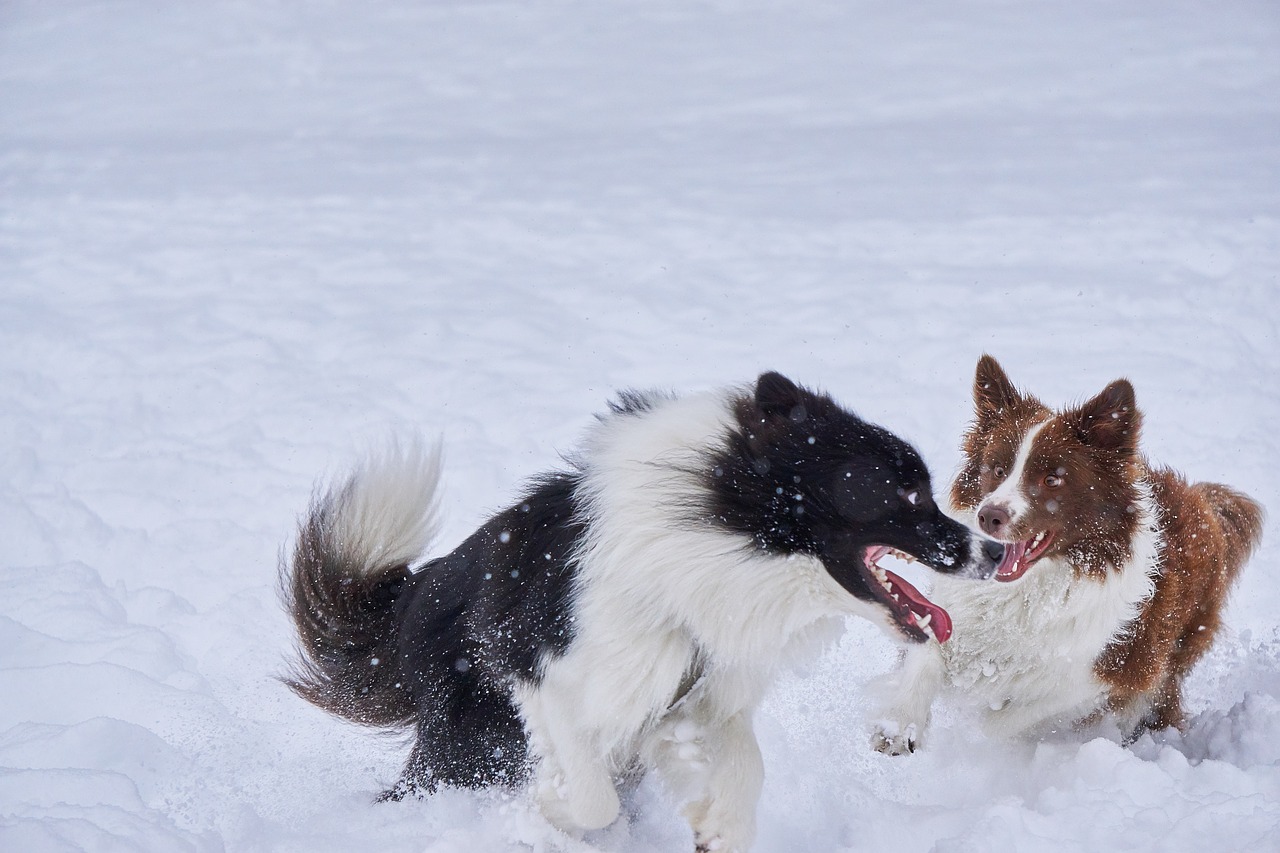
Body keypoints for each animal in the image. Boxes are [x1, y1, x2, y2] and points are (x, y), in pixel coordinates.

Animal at [282, 373, 998, 850]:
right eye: (904, 491)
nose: (994, 551)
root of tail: (417, 595)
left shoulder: (712, 689)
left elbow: (745, 767)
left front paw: (718, 826)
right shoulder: (543, 676)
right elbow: (593, 797)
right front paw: (549, 811)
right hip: (471, 743)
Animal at [870, 353, 1259, 753]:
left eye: (1052, 479)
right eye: (997, 469)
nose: (989, 515)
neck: (1026, 592)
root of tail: (1202, 500)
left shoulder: (1112, 672)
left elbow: (1003, 721)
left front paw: (973, 738)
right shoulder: (952, 613)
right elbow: (925, 660)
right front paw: (898, 727)